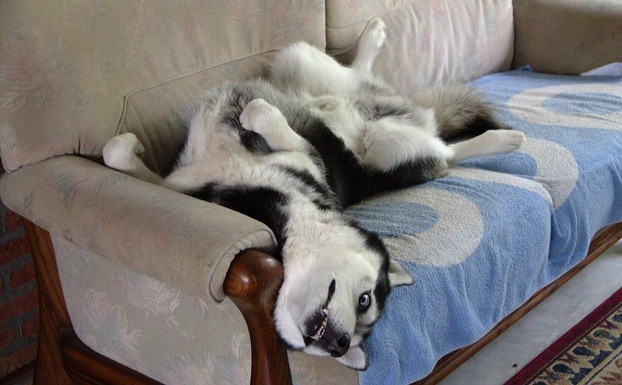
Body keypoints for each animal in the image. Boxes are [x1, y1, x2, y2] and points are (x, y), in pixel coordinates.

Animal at [103, 19, 528, 368]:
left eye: (361, 328)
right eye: (365, 300)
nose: (340, 346)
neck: (281, 210)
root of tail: (406, 112)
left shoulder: (311, 160)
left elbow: (264, 113)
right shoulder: (178, 183)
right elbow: (116, 151)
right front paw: (134, 146)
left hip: (394, 148)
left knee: (448, 153)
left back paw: (504, 139)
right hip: (300, 61)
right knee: (350, 77)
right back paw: (371, 39)